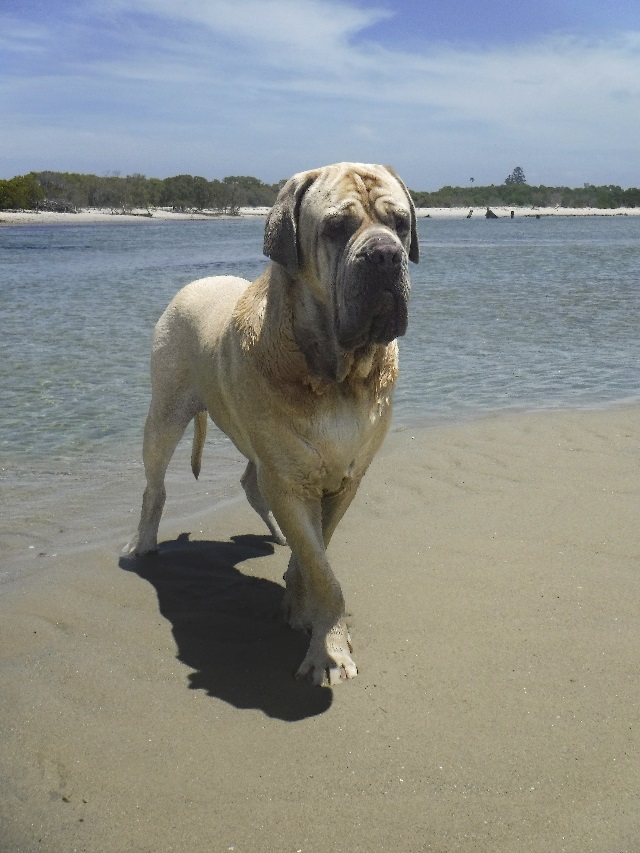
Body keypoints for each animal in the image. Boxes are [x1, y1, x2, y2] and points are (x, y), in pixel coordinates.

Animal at [124, 163, 420, 684]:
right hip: (165, 414)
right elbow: (324, 571)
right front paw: (329, 651)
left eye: (401, 224)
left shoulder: (344, 479)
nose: (386, 255)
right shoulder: (289, 477)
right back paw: (144, 545)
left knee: (249, 480)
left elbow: (315, 552)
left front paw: (300, 606)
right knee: (155, 486)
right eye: (337, 228)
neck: (337, 375)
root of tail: (194, 283)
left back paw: (277, 536)